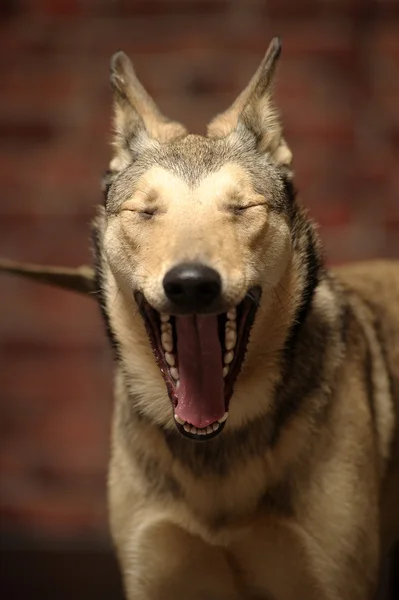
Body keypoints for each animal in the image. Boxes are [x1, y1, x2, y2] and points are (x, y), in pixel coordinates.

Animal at [0, 39, 399, 596]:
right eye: (146, 212)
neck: (214, 456)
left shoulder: (331, 577)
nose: (191, 283)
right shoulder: (154, 571)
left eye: (242, 208)